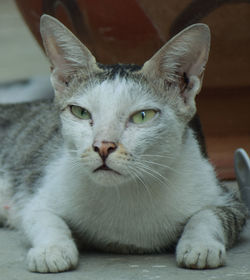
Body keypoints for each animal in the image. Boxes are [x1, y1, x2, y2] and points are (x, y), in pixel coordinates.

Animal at [0, 14, 246, 272]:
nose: (102, 146)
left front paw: (201, 246)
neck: (126, 193)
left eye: (142, 116)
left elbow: (207, 216)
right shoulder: (38, 198)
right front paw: (52, 249)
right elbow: (45, 219)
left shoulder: (230, 201)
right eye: (80, 112)